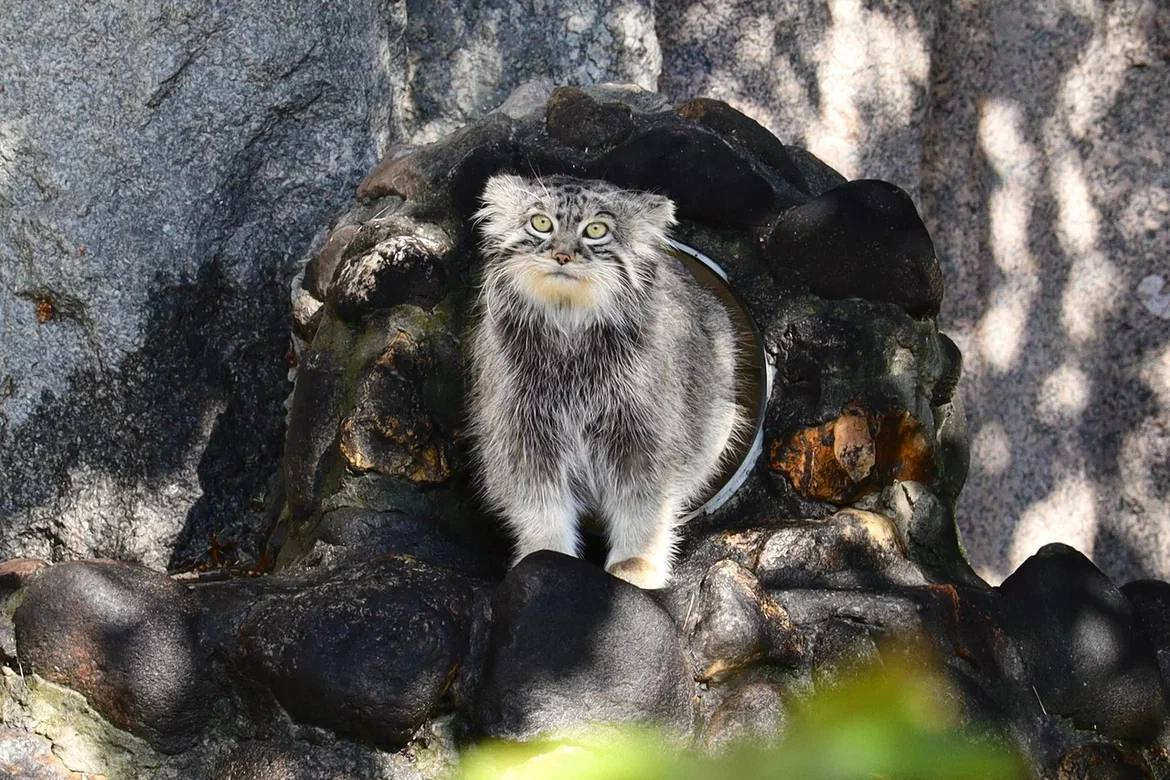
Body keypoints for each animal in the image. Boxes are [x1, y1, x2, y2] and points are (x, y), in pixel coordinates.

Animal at [465, 174, 739, 589]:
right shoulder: (524, 436)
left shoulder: (644, 437)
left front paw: (637, 562)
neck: (569, 335)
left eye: (597, 230)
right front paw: (546, 555)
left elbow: (643, 505)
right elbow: (539, 504)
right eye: (540, 223)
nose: (562, 255)